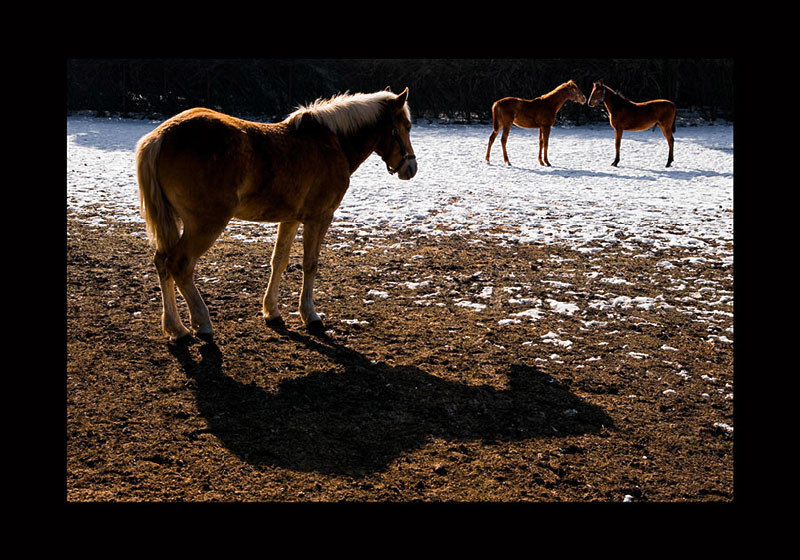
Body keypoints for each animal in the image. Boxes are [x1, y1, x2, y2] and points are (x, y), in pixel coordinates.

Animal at [136, 89, 418, 340]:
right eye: (406, 126)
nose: (411, 167)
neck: (332, 142)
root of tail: (161, 137)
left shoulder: (290, 219)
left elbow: (279, 261)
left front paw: (271, 311)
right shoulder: (319, 217)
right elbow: (310, 263)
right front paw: (309, 315)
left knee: (162, 263)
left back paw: (176, 329)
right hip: (205, 224)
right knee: (179, 264)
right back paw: (201, 323)